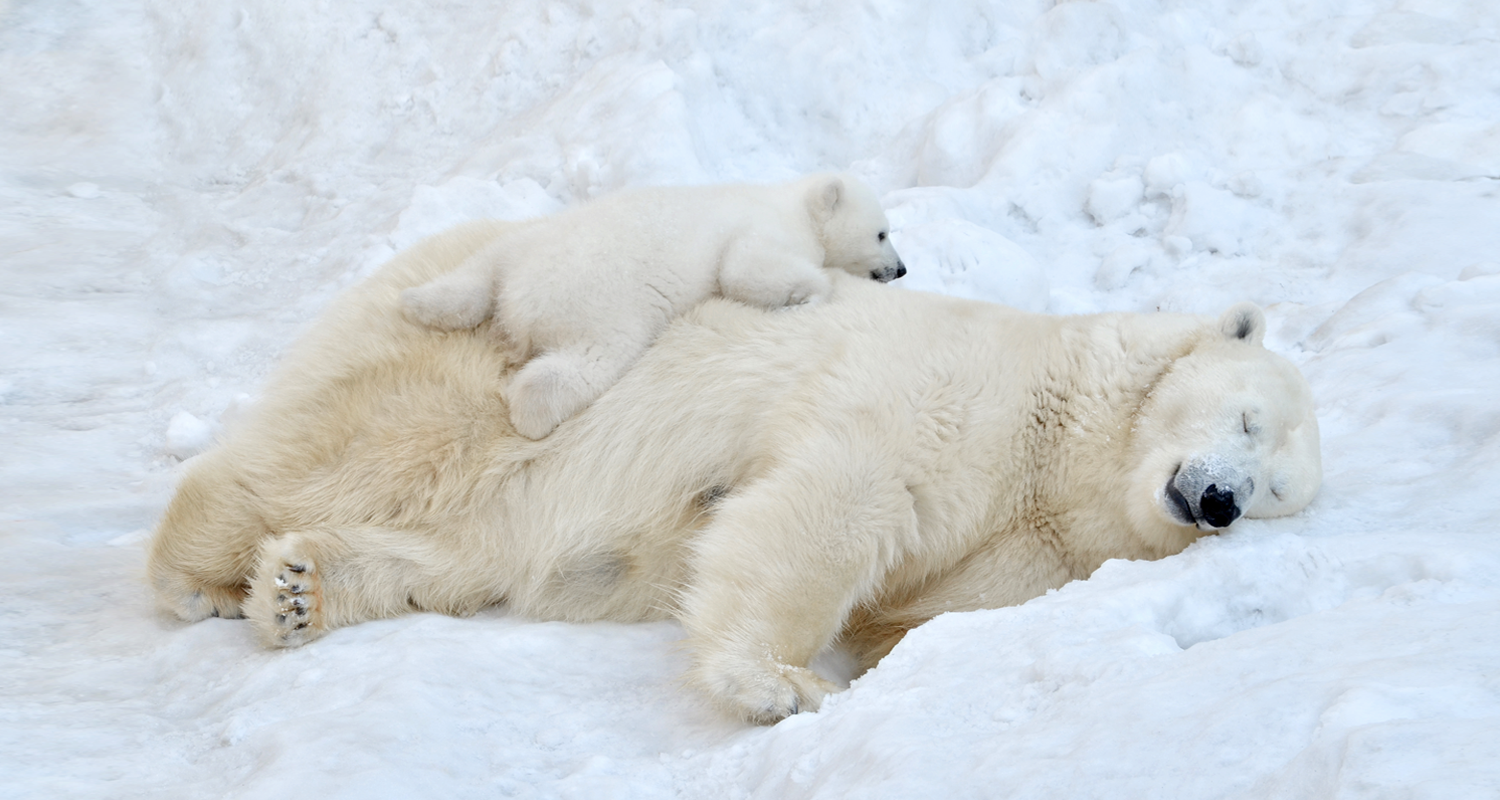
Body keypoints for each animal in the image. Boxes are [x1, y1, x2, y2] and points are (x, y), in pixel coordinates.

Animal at [147, 221, 1321, 723]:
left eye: (1274, 495)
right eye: (1248, 417)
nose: (1217, 499)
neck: (1063, 436)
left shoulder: (1032, 546)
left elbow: (916, 612)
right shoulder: (953, 393)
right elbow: (840, 499)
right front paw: (778, 682)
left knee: (462, 551)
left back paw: (302, 588)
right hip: (487, 372)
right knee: (365, 446)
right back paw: (197, 567)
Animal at [398, 173, 906, 439]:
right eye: (882, 232)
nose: (901, 269)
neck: (794, 205)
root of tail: (522, 306)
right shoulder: (762, 230)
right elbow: (744, 268)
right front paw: (812, 294)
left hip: (527, 244)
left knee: (479, 270)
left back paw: (417, 303)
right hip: (605, 315)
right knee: (580, 366)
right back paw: (530, 414)